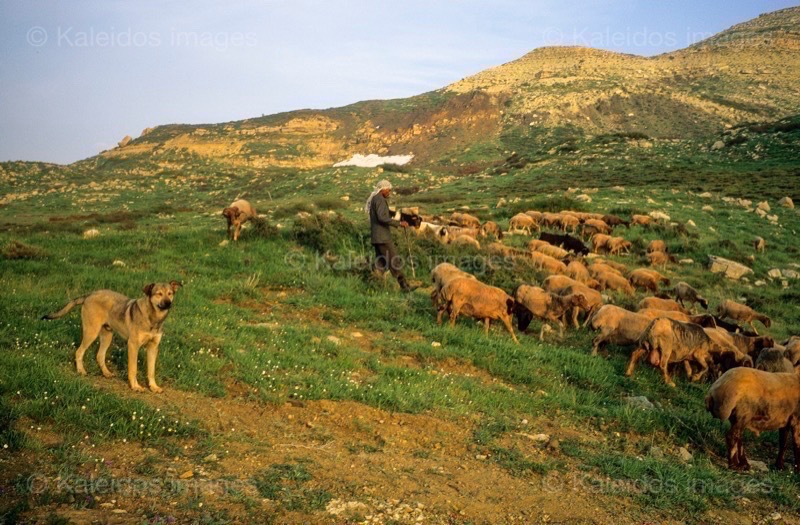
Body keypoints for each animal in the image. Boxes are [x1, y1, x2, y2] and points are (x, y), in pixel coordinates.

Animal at [44, 280, 183, 390]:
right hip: (91, 333)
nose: (168, 303)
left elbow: (151, 370)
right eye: (159, 294)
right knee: (79, 352)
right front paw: (135, 387)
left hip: (107, 336)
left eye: (170, 293)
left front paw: (154, 387)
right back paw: (81, 371)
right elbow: (133, 369)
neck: (153, 318)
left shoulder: (153, 347)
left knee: (100, 355)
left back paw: (106, 373)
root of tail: (90, 294)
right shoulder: (133, 345)